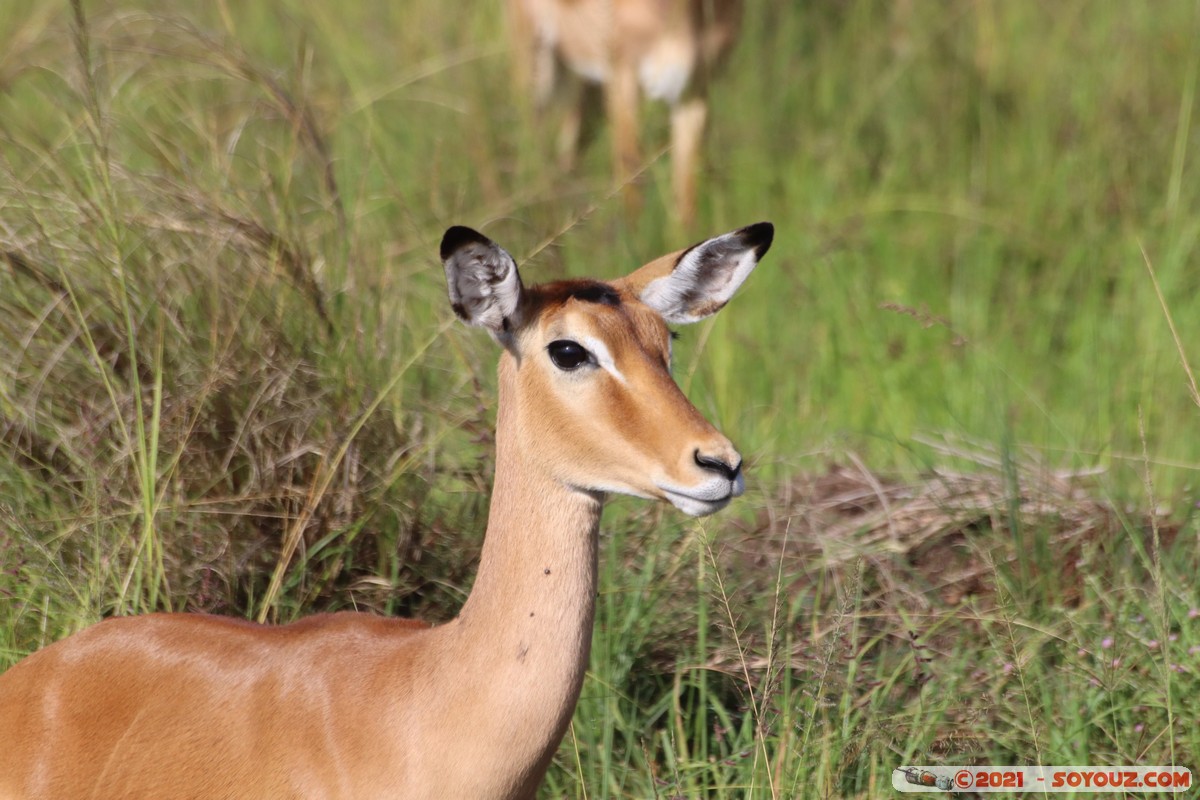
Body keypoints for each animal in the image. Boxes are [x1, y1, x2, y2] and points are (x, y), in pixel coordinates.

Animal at [508, 0, 743, 225]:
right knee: (532, 154)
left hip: (590, 93)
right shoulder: (624, 81)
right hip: (538, 74)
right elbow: (630, 177)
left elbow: (686, 200)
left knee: (565, 151)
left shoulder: (693, 92)